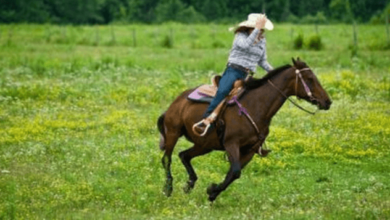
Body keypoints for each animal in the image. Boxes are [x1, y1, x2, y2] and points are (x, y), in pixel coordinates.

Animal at [157, 58, 330, 201]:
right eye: (310, 79)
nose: (327, 102)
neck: (256, 106)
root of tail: (177, 101)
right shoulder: (231, 144)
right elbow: (235, 171)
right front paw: (212, 191)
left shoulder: (250, 150)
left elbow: (233, 173)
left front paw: (212, 192)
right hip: (173, 133)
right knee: (167, 159)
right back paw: (167, 189)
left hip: (205, 145)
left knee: (184, 155)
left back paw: (189, 185)